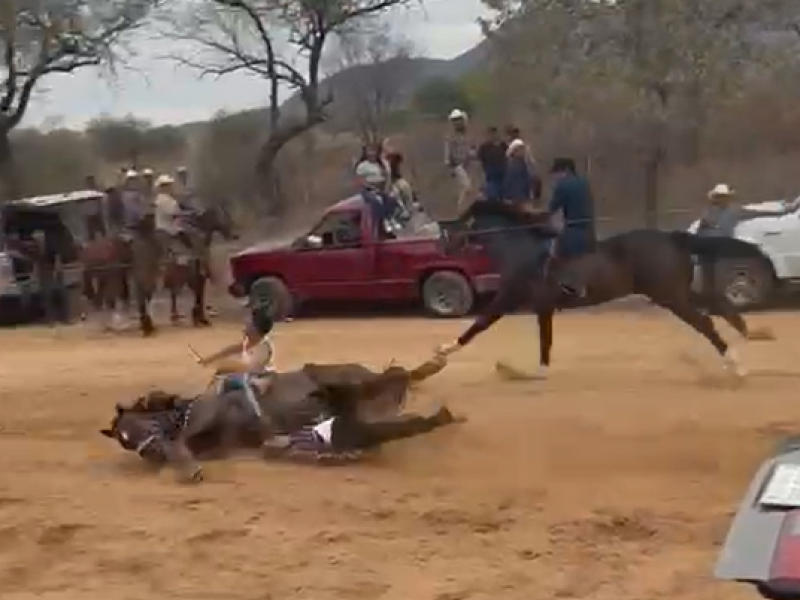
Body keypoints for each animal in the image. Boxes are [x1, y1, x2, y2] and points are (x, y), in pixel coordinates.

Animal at [98, 356, 456, 482]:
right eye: (124, 441)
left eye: (137, 426)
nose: (148, 453)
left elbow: (179, 444)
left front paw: (188, 468)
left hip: (346, 381)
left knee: (393, 376)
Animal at [438, 202, 776, 380]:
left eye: (460, 224)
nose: (445, 246)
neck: (520, 249)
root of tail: (672, 237)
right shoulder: (542, 307)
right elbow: (545, 341)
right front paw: (540, 371)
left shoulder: (509, 299)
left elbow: (479, 325)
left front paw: (442, 352)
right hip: (676, 291)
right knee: (715, 306)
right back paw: (748, 334)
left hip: (670, 296)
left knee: (704, 322)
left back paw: (736, 363)